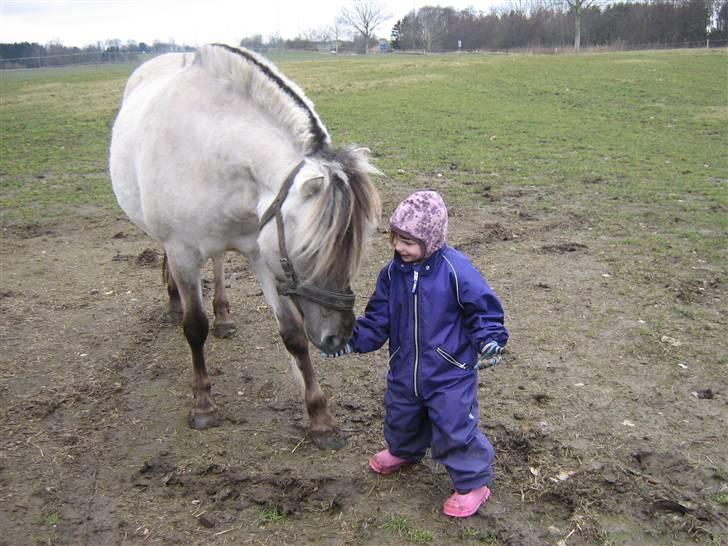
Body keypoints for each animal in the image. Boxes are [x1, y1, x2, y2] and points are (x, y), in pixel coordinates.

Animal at [109, 44, 382, 448]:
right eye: (312, 250)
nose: (340, 336)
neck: (211, 146)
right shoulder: (182, 251)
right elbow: (195, 327)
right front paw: (203, 405)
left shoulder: (261, 251)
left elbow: (293, 334)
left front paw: (320, 418)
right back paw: (174, 303)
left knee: (220, 262)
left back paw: (223, 315)